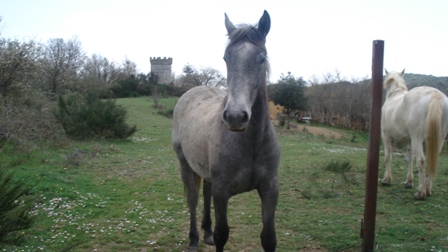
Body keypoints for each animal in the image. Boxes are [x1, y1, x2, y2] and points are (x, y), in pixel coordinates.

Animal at [172, 10, 280, 252]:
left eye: (261, 58)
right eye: (226, 58)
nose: (235, 116)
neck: (250, 142)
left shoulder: (270, 189)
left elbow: (269, 237)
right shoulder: (222, 192)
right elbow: (222, 234)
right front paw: (210, 236)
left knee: (205, 194)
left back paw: (206, 232)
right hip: (184, 163)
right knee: (193, 198)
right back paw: (194, 239)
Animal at [380, 69, 448, 199]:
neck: (395, 94)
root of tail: (435, 95)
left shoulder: (386, 135)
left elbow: (387, 157)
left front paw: (386, 180)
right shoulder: (409, 140)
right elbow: (410, 158)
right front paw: (409, 182)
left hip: (418, 139)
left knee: (421, 161)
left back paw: (421, 192)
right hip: (438, 140)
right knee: (432, 161)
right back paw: (428, 190)